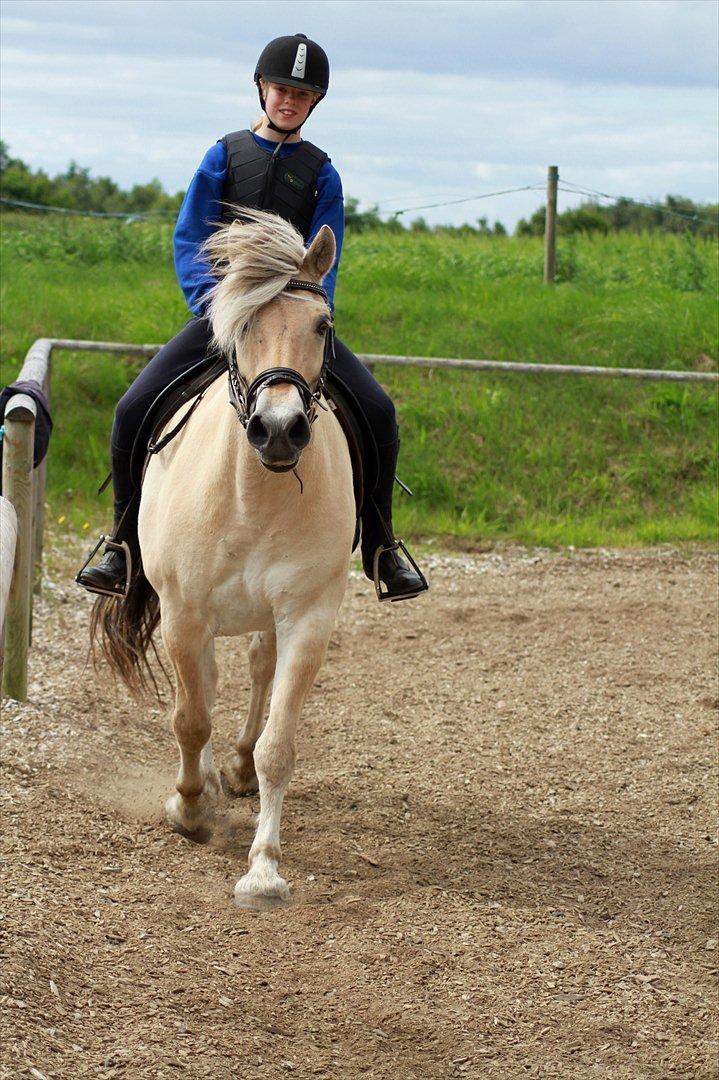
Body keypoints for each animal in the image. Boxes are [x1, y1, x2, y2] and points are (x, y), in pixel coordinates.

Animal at [91, 206, 354, 907]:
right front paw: (188, 809)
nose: (280, 430)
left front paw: (263, 869)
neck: (255, 490)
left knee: (257, 674)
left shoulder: (308, 616)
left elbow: (278, 745)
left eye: (321, 326)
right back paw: (206, 783)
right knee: (204, 689)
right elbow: (190, 718)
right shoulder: (185, 613)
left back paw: (233, 771)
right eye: (241, 326)